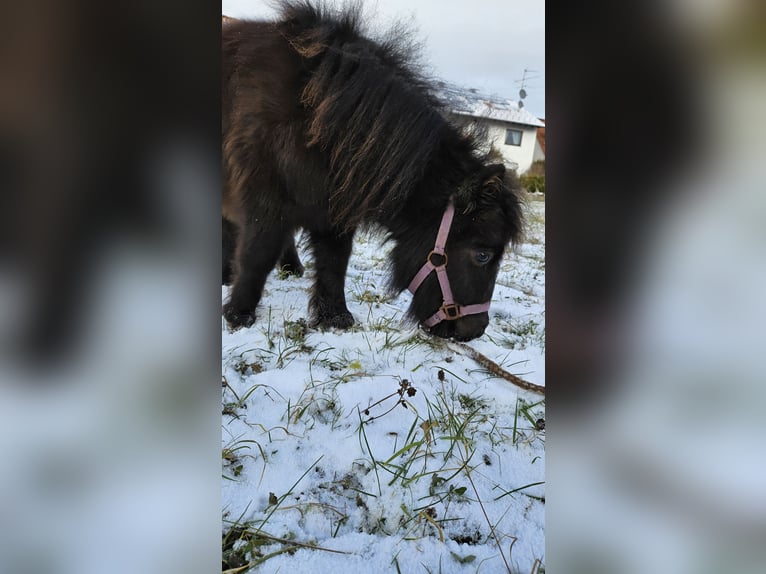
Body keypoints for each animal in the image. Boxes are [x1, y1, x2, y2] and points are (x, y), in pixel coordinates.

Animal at [220, 1, 520, 342]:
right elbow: (257, 255)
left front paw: (334, 316)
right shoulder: (266, 203)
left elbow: (334, 262)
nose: (475, 330)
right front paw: (239, 314)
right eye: (483, 255)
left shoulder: (333, 211)